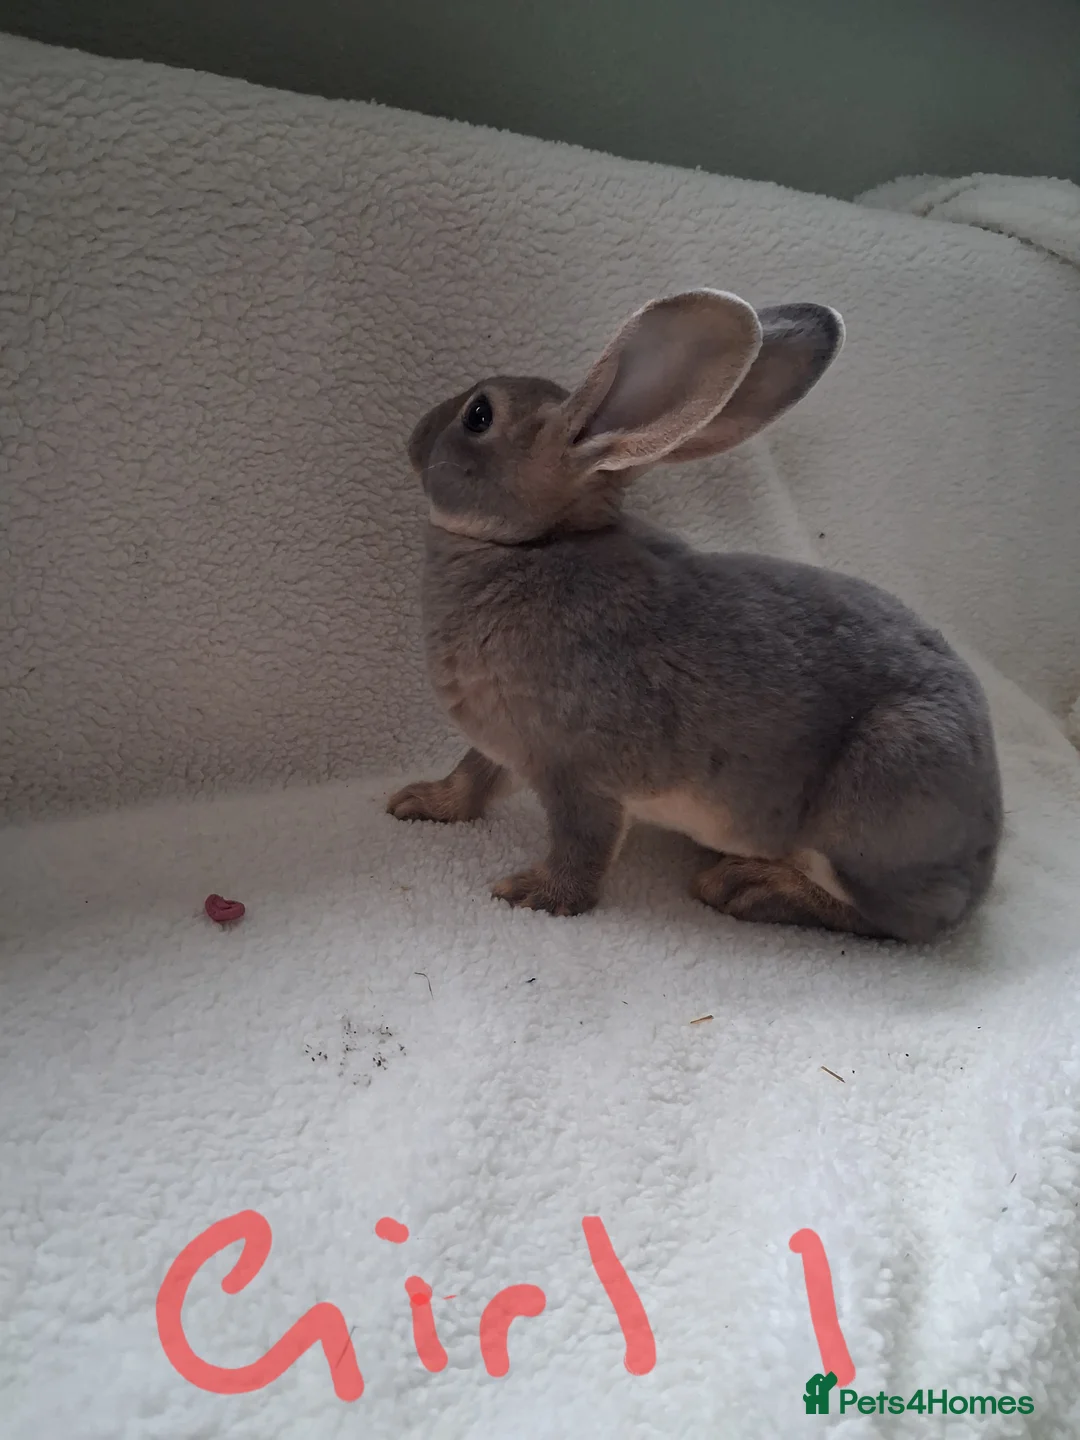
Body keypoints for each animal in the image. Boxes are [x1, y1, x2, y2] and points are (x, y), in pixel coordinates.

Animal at [387, 290, 1003, 943]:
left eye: (478, 415)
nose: (415, 436)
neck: (532, 545)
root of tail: (985, 857)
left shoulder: (577, 773)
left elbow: (581, 846)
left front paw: (534, 894)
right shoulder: (501, 743)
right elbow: (472, 777)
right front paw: (420, 802)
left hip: (880, 795)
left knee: (899, 918)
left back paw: (747, 887)